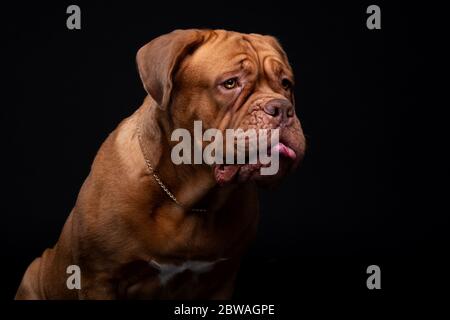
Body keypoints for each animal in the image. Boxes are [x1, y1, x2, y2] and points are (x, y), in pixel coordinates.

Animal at [15, 29, 308, 300]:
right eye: (230, 83)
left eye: (286, 84)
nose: (282, 108)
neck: (190, 199)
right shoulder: (99, 279)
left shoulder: (220, 282)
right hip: (33, 272)